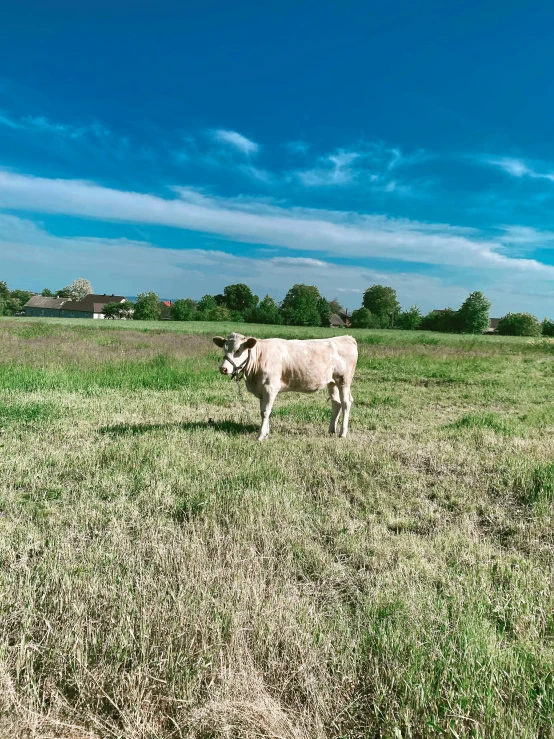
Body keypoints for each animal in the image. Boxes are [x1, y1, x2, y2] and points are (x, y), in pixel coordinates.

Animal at [211, 334, 358, 442]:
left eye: (238, 350)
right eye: (224, 349)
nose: (223, 368)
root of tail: (346, 337)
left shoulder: (270, 387)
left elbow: (265, 411)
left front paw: (261, 435)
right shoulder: (262, 390)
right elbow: (263, 411)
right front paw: (266, 433)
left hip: (344, 380)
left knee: (346, 402)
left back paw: (342, 433)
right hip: (332, 382)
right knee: (336, 403)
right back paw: (331, 430)